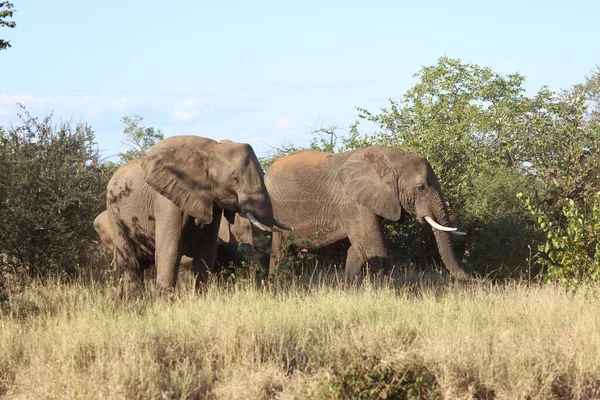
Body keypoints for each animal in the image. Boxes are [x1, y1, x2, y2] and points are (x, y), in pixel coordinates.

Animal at [106, 136, 292, 296]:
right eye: (235, 180)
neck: (210, 152)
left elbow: (206, 252)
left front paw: (200, 298)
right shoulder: (166, 201)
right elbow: (170, 251)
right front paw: (165, 304)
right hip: (114, 214)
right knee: (132, 263)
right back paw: (134, 301)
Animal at [264, 147, 472, 282]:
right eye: (420, 187)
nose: (474, 279)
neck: (393, 160)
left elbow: (360, 247)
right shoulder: (353, 202)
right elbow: (372, 246)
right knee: (281, 251)